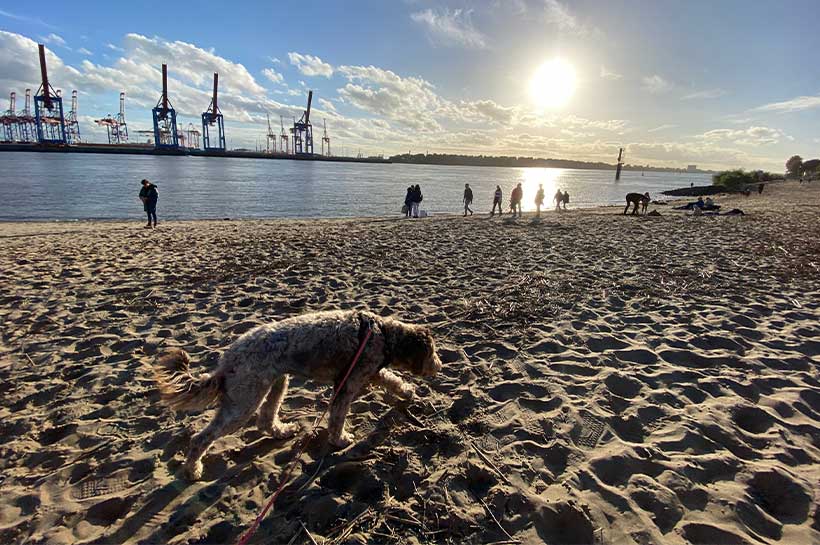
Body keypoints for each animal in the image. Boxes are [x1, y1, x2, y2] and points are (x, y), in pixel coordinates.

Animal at [152, 308, 442, 478]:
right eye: (432, 352)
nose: (439, 365)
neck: (382, 334)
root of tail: (225, 362)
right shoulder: (348, 383)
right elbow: (338, 417)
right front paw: (340, 440)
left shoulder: (368, 372)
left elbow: (392, 379)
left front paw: (406, 392)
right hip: (245, 400)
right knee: (202, 438)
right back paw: (193, 468)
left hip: (276, 383)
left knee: (266, 420)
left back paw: (283, 431)